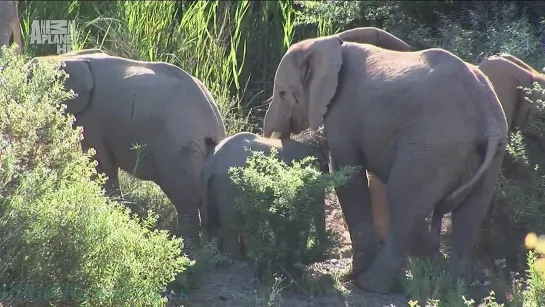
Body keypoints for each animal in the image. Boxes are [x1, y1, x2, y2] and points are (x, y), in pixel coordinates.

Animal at [25, 48, 225, 250]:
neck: (64, 57)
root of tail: (213, 122)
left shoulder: (92, 118)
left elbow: (100, 165)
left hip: (179, 149)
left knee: (186, 202)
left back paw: (188, 253)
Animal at [200, 131, 328, 262]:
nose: (313, 256)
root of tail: (213, 164)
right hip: (228, 185)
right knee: (230, 224)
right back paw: (236, 260)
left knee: (209, 223)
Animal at [262, 31, 508, 294]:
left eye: (283, 93)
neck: (328, 43)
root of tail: (487, 118)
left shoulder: (343, 112)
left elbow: (347, 174)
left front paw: (354, 274)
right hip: (489, 156)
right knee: (470, 214)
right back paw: (452, 288)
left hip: (431, 147)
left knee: (404, 202)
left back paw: (371, 284)